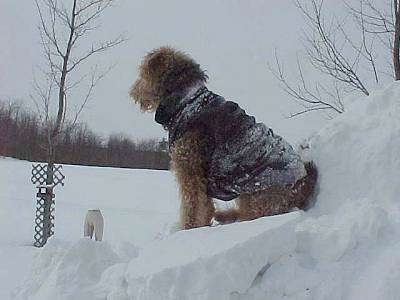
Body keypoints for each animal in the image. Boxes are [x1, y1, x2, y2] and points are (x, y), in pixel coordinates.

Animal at [130, 47, 318, 230]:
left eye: (143, 73)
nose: (132, 93)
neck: (188, 100)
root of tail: (304, 183)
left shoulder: (189, 170)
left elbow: (192, 206)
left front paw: (187, 230)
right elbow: (205, 207)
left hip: (255, 193)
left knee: (251, 215)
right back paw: (223, 216)